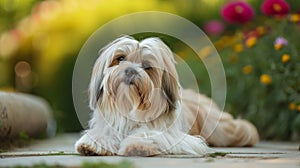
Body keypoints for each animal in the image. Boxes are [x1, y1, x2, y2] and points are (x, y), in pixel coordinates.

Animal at [74, 35, 258, 156]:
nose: (130, 70)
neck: (129, 105)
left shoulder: (176, 137)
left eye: (147, 66)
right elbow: (103, 133)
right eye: (120, 59)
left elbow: (148, 134)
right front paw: (91, 145)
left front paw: (138, 145)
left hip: (220, 129)